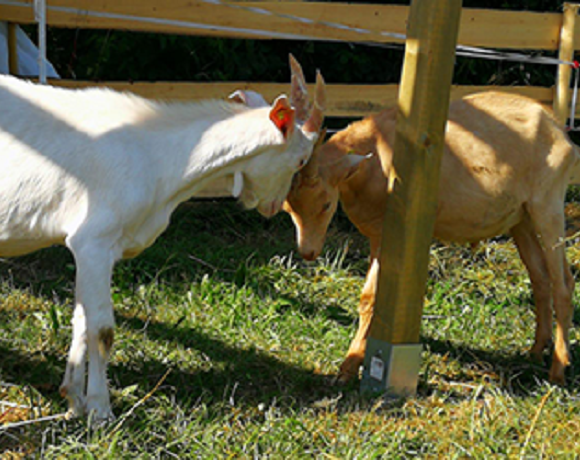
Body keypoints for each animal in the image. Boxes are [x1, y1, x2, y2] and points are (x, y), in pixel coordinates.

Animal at [0, 55, 326, 418]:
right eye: (300, 160)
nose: (272, 207)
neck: (159, 159)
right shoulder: (93, 241)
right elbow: (102, 330)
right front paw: (101, 411)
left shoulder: (91, 251)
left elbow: (81, 320)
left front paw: (73, 400)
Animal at [284, 90, 576, 384]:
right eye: (288, 207)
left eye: (324, 204)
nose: (308, 251)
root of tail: (557, 127)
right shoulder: (376, 235)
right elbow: (369, 297)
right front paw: (350, 366)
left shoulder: (389, 232)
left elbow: (372, 297)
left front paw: (349, 366)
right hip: (522, 219)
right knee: (541, 277)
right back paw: (536, 351)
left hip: (548, 206)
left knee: (562, 283)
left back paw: (558, 369)